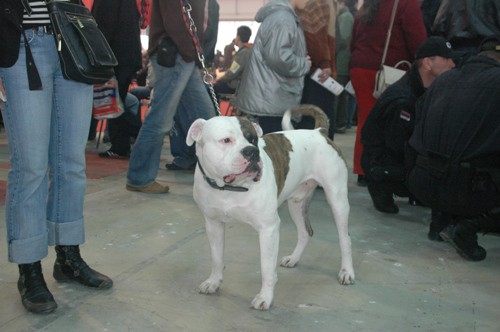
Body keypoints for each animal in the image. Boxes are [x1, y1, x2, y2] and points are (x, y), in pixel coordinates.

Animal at [188, 105, 356, 310]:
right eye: (226, 140)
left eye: (253, 139)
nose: (252, 151)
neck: (229, 188)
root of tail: (319, 132)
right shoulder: (213, 224)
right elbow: (217, 257)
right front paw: (213, 282)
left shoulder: (268, 229)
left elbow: (266, 267)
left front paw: (265, 297)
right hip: (296, 202)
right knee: (305, 232)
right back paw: (293, 259)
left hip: (337, 200)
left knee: (345, 238)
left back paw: (347, 271)